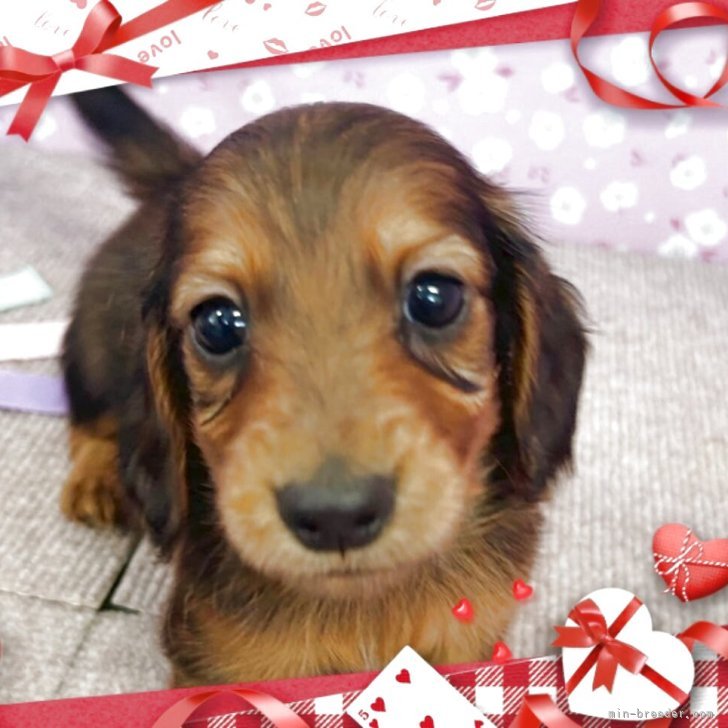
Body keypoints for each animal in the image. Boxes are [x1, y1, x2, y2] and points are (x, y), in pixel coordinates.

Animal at [61, 87, 587, 686]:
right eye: (217, 324)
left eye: (435, 297)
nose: (337, 517)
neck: (370, 605)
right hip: (92, 351)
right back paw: (97, 480)